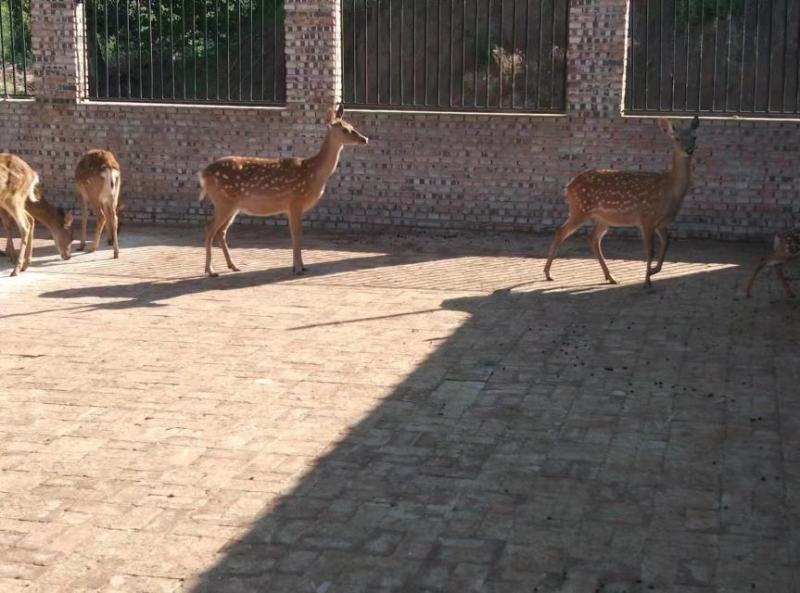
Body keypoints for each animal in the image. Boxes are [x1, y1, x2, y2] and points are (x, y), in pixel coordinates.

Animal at [198, 103, 369, 277]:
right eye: (345, 130)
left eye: (352, 126)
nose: (365, 139)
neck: (313, 172)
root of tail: (203, 175)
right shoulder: (295, 201)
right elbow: (297, 235)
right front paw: (299, 268)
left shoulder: (291, 206)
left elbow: (294, 236)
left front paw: (300, 266)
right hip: (223, 201)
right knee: (209, 230)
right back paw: (210, 270)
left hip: (233, 206)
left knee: (221, 232)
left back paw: (232, 266)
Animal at [544, 116, 700, 288]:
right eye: (677, 138)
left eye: (694, 137)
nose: (689, 150)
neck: (670, 191)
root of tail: (569, 185)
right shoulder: (646, 217)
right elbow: (650, 250)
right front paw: (647, 281)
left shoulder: (662, 223)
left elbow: (666, 243)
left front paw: (653, 271)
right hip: (579, 209)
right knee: (561, 232)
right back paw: (548, 273)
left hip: (602, 218)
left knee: (593, 239)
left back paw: (610, 277)